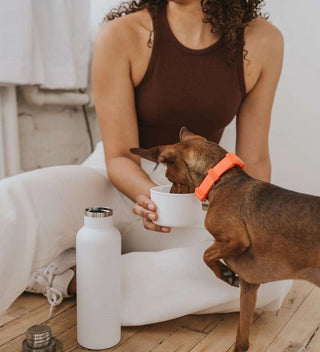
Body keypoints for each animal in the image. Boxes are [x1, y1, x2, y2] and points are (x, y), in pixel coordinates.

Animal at [129, 126, 320, 352]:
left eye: (169, 176)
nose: (171, 194)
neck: (223, 180)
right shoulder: (249, 286)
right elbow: (242, 338)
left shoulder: (235, 240)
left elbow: (205, 255)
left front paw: (224, 273)